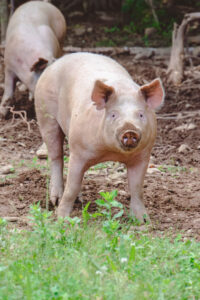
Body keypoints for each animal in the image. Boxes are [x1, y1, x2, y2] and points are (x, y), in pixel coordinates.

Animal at [34, 52, 164, 223]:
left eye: (141, 114)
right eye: (113, 114)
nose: (129, 130)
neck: (110, 152)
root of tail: (56, 62)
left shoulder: (143, 155)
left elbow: (136, 188)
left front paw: (143, 221)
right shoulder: (78, 151)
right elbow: (71, 187)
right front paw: (63, 219)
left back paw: (79, 200)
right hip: (45, 114)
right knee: (56, 156)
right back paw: (56, 200)